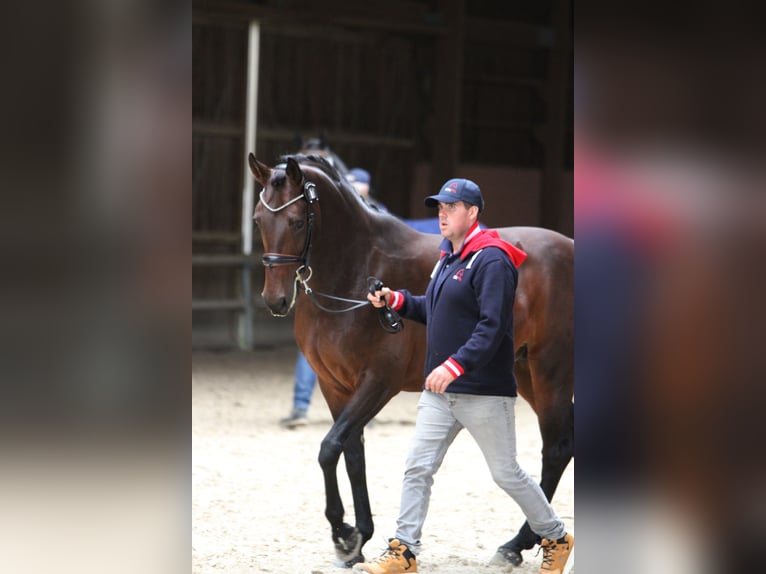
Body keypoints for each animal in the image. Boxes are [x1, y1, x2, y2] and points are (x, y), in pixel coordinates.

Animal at [249, 152, 572, 568]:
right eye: (258, 219)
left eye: (297, 221)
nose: (275, 300)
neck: (354, 271)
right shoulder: (335, 385)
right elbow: (351, 453)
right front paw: (359, 538)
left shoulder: (378, 382)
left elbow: (329, 448)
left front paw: (343, 534)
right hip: (524, 370)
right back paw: (519, 544)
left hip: (551, 372)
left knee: (556, 448)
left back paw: (519, 544)